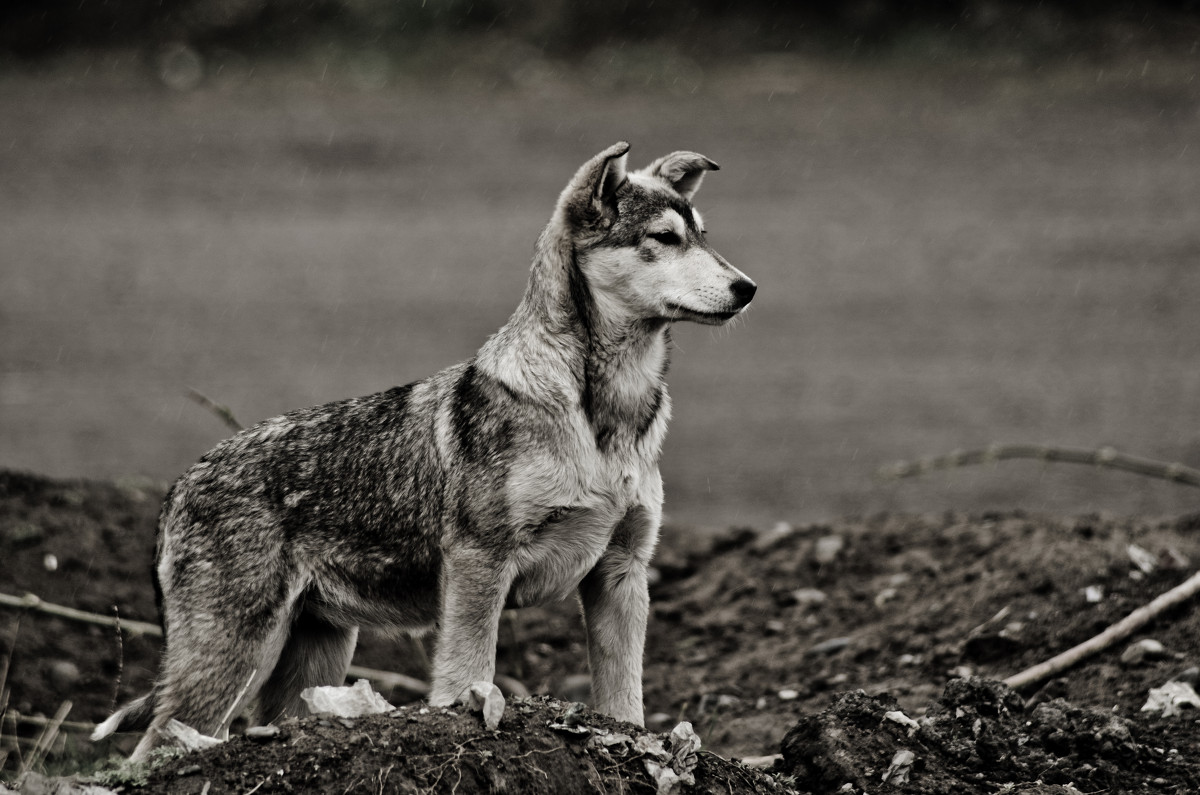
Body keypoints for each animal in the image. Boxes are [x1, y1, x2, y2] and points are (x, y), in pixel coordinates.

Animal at [93, 143, 753, 758]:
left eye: (703, 236)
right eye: (664, 239)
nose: (747, 288)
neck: (603, 416)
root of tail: (178, 487)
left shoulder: (621, 573)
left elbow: (625, 703)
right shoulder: (480, 566)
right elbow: (466, 676)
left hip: (313, 654)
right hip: (234, 656)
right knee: (149, 751)